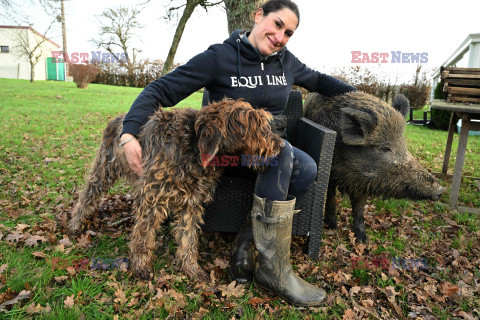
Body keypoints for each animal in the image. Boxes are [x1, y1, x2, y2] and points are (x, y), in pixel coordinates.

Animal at [69, 99, 284, 280]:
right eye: (255, 124)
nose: (281, 145)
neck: (193, 146)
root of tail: (116, 119)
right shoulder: (151, 198)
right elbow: (143, 236)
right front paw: (141, 267)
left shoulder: (192, 204)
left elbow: (188, 238)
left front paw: (191, 269)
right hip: (103, 172)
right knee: (86, 199)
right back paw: (74, 226)